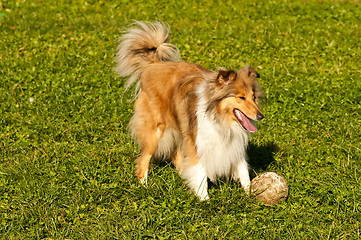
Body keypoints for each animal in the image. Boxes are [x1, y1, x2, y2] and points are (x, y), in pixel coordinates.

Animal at [116, 21, 264, 201]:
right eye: (241, 97)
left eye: (253, 96)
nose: (260, 116)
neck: (219, 117)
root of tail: (154, 64)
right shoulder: (197, 142)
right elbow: (200, 173)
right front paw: (205, 200)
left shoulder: (232, 145)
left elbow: (243, 171)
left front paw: (250, 194)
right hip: (155, 130)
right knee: (144, 159)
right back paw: (144, 186)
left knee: (176, 156)